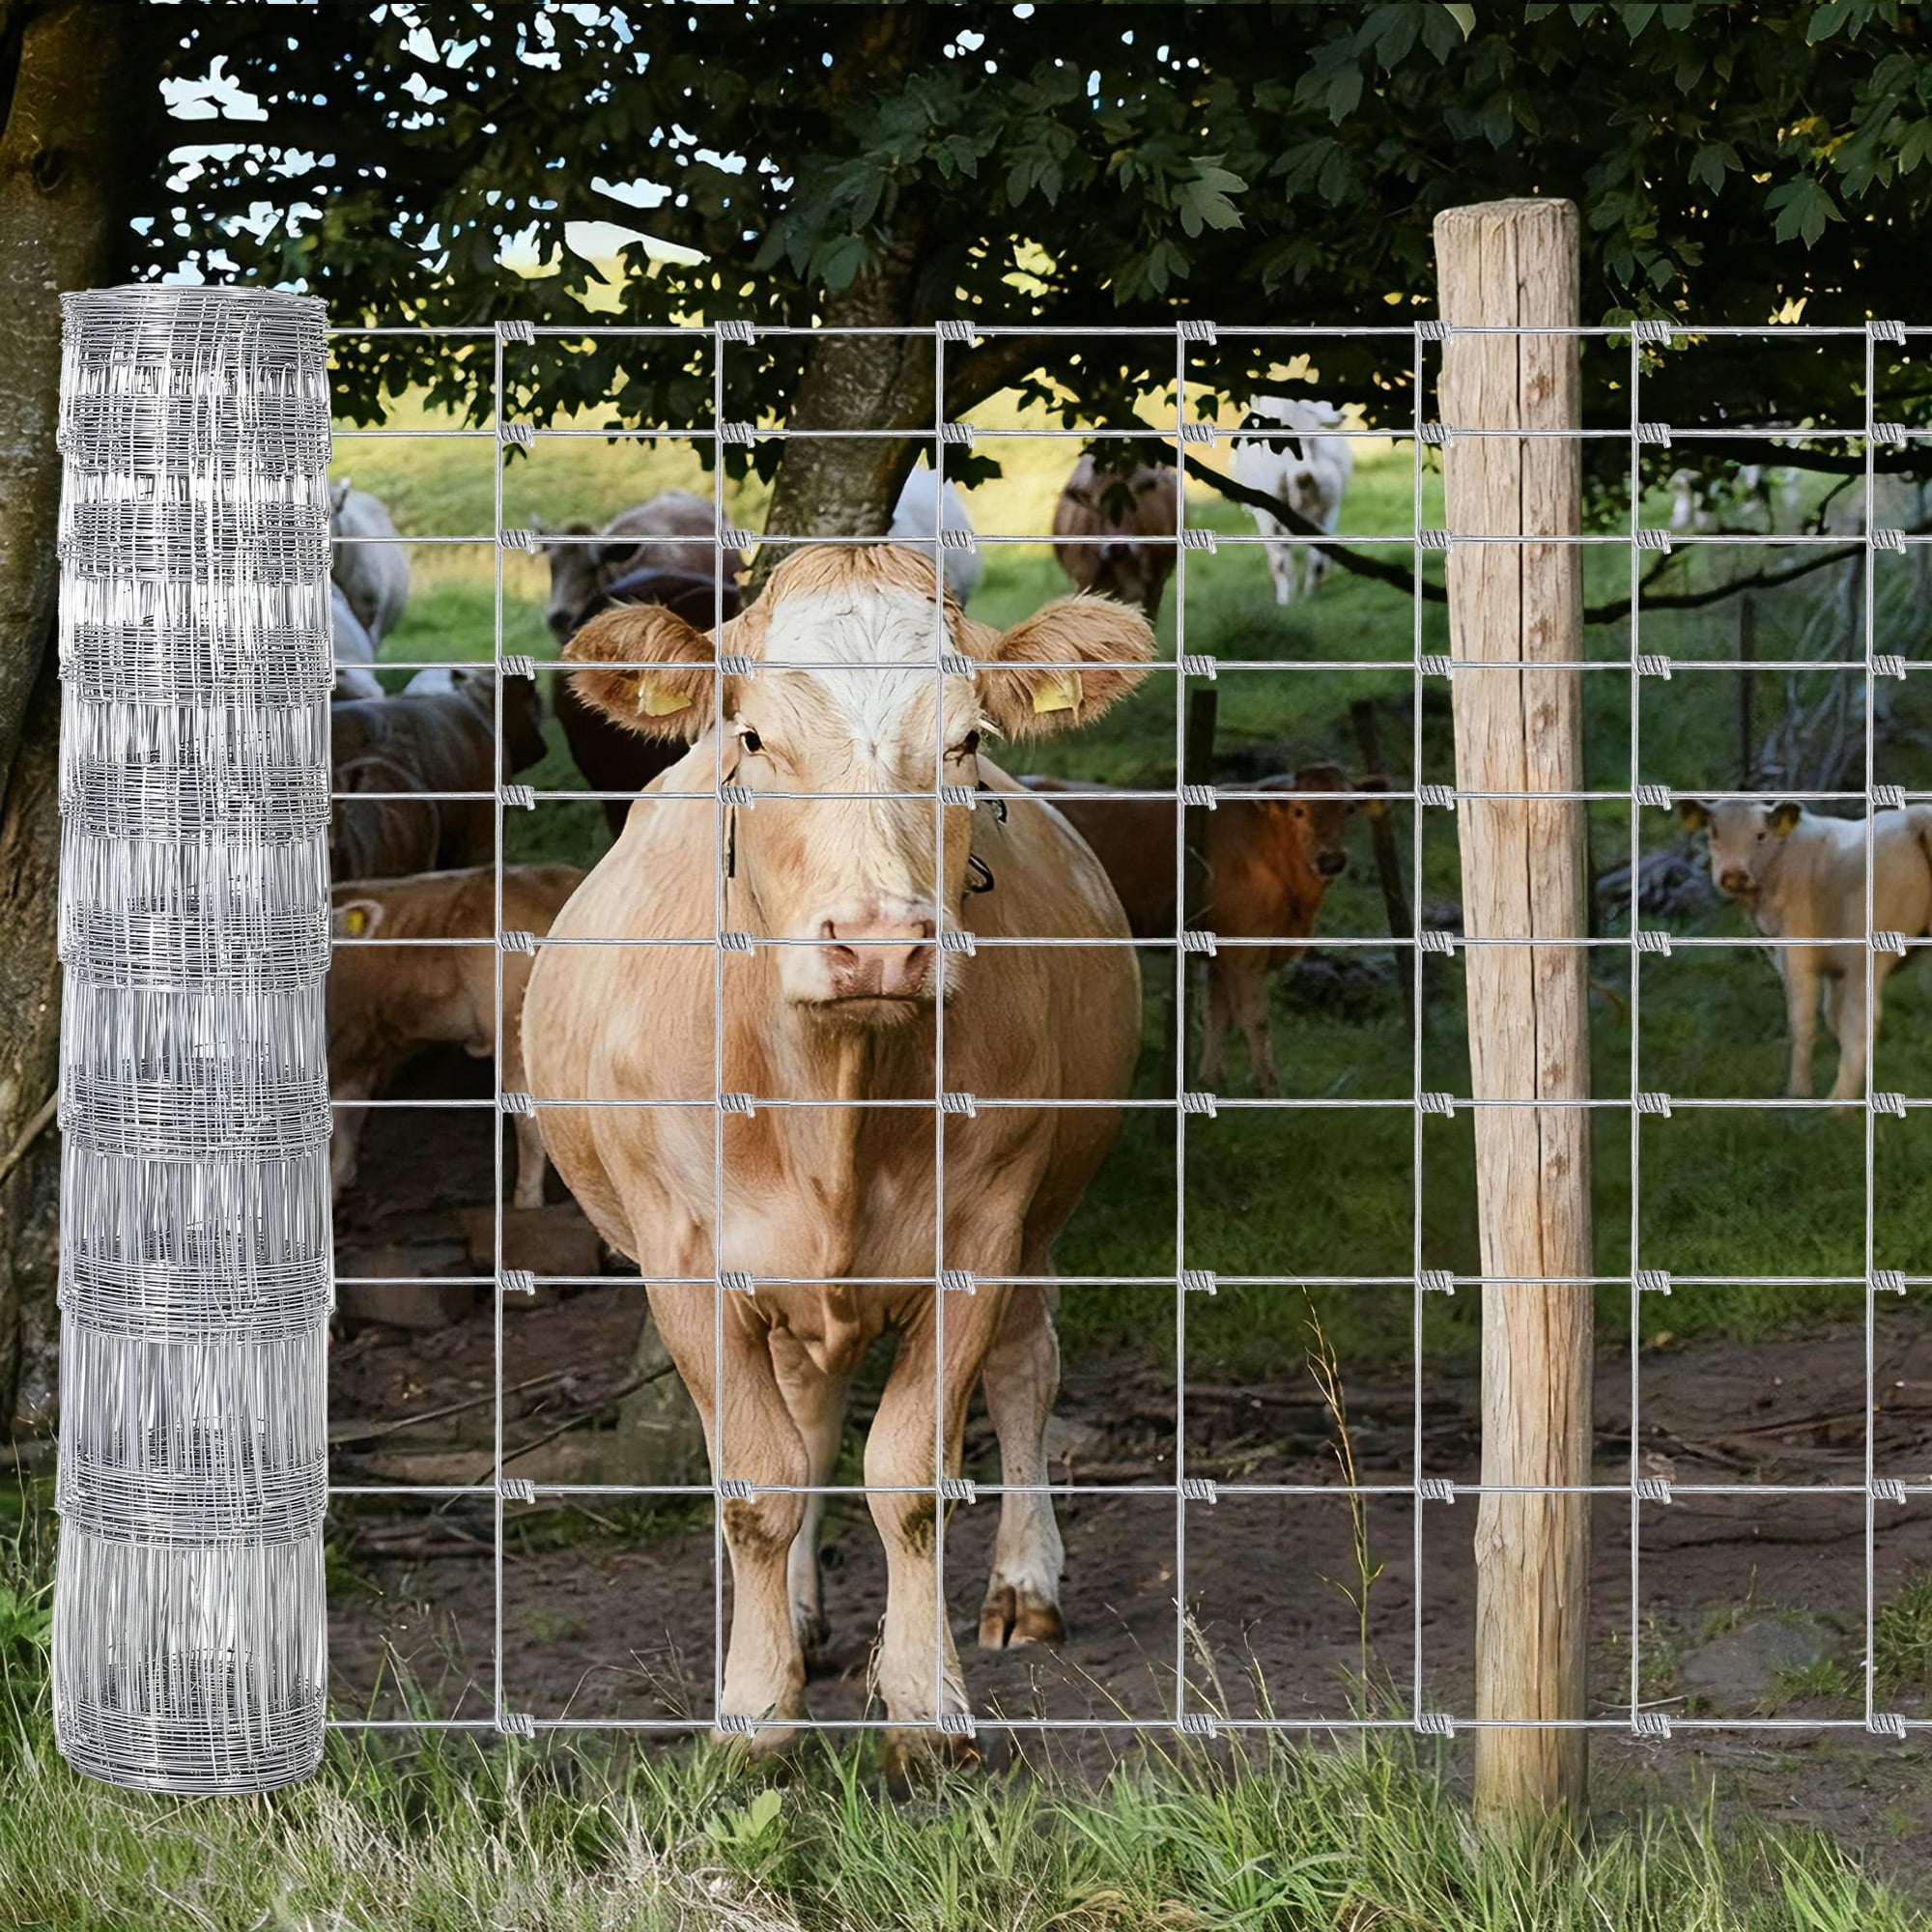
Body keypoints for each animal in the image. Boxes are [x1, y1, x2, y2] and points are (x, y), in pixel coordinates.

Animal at [522, 543, 1154, 1769]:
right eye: (753, 737)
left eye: (964, 741)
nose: (877, 944)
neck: (834, 1097)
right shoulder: (683, 1256)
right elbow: (758, 1477)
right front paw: (755, 1705)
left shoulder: (982, 1229)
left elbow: (909, 1474)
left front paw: (925, 1704)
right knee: (807, 1416)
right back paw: (804, 1617)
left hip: (1043, 1214)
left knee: (1024, 1370)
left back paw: (1023, 1583)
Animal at [1024, 766, 1356, 1095]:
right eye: (1299, 810)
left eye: (1349, 809)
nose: (1331, 860)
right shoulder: (1246, 950)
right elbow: (1255, 1019)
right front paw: (1268, 1086)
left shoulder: (1222, 954)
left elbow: (1217, 1015)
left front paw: (1211, 1077)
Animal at [1230, 397, 1355, 605]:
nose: (1342, 414)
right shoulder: (1265, 518)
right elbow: (1279, 561)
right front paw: (1285, 601)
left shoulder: (1326, 511)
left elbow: (1316, 556)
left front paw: (1311, 594)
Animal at [1679, 797, 1932, 1106]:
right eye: (1714, 832)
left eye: (1760, 835)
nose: (1734, 875)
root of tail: (1915, 817)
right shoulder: (1835, 969)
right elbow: (1832, 1016)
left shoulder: (1797, 952)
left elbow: (1803, 1021)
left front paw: (1797, 1092)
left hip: (1866, 956)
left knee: (1862, 1020)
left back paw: (1837, 1106)